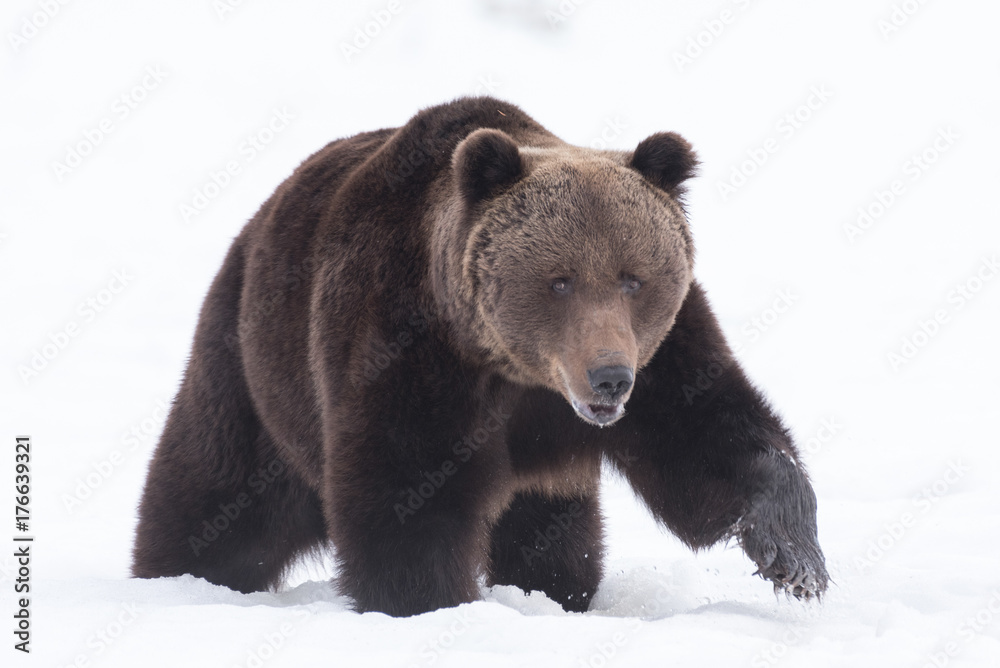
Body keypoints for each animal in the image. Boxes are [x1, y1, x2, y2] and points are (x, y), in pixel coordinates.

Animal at [132, 96, 828, 617]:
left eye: (633, 277)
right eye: (559, 280)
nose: (609, 378)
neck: (517, 371)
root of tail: (257, 221)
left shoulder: (664, 350)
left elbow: (708, 435)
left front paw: (795, 558)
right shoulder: (407, 343)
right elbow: (407, 491)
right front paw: (429, 601)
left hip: (548, 480)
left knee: (558, 543)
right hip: (256, 372)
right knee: (216, 497)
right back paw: (175, 576)